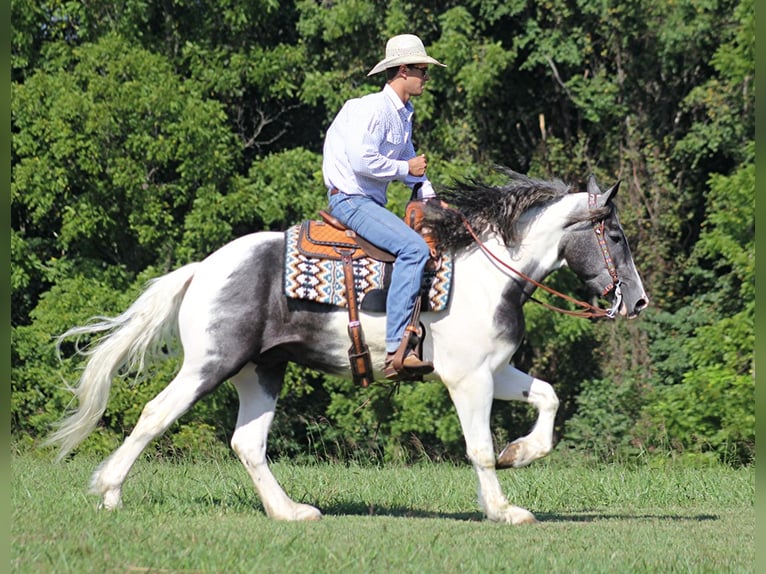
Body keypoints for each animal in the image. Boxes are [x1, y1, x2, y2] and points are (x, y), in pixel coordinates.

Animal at [46, 168, 648, 528]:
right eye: (616, 236)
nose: (638, 302)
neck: (490, 274)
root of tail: (204, 268)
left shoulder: (492, 371)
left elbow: (546, 397)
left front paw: (519, 454)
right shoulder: (467, 378)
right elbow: (478, 448)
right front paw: (504, 509)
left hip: (261, 371)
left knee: (247, 443)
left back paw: (290, 512)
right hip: (210, 365)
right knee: (155, 414)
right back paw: (110, 492)